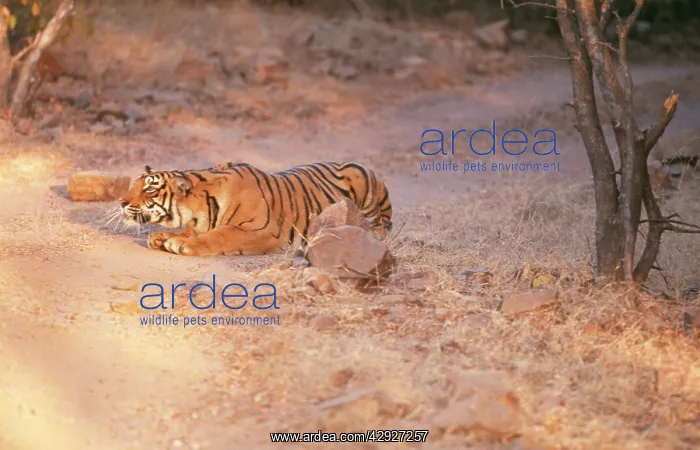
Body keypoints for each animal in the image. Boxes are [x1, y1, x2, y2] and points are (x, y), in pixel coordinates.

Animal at [118, 161, 393, 257]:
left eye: (149, 189)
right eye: (135, 185)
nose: (121, 201)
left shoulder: (264, 231)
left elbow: (221, 235)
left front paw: (178, 243)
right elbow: (192, 231)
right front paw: (161, 236)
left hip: (363, 182)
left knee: (379, 226)